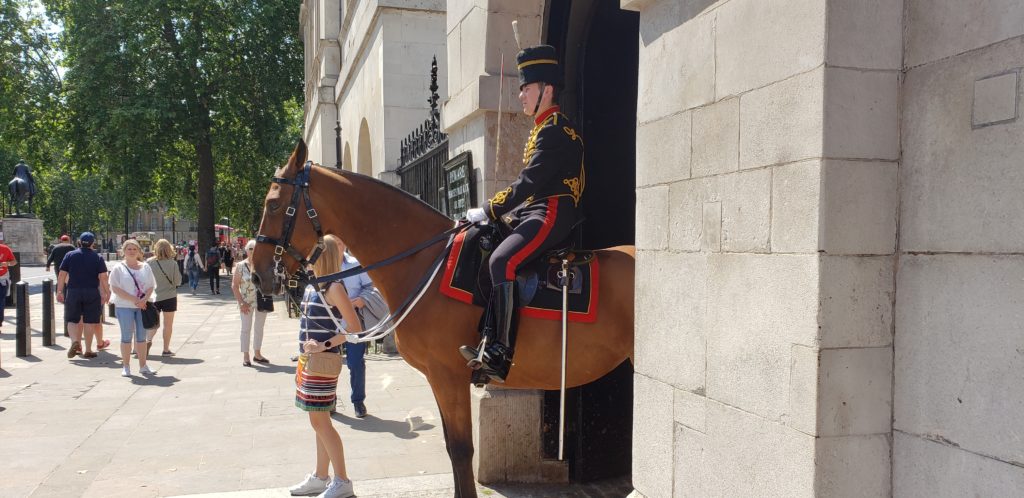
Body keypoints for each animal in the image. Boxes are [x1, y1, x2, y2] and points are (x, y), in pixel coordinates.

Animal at [249, 141, 630, 498]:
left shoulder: (449, 375)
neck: (424, 260)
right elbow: (451, 448)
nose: (257, 273)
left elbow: (461, 450)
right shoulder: (438, 377)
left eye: (273, 204)